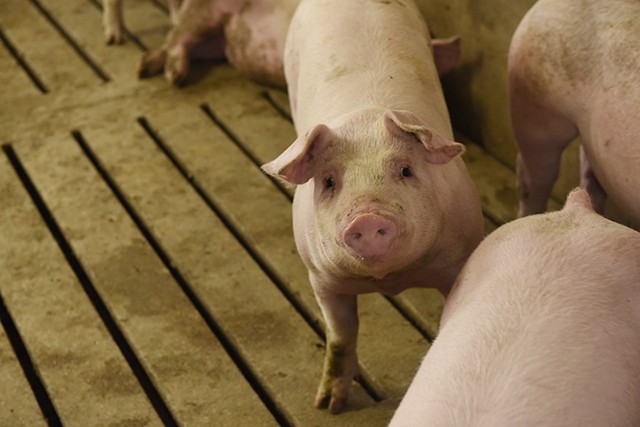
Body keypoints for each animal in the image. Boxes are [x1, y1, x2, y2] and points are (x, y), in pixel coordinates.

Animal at [103, 0, 300, 87]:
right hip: (205, 12)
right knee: (176, 35)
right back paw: (173, 76)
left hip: (216, 43)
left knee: (178, 40)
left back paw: (144, 68)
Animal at [258, 0, 480, 414]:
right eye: (329, 181)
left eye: (406, 170)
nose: (366, 216)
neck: (390, 280)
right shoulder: (320, 277)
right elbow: (341, 335)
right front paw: (328, 406)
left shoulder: (457, 259)